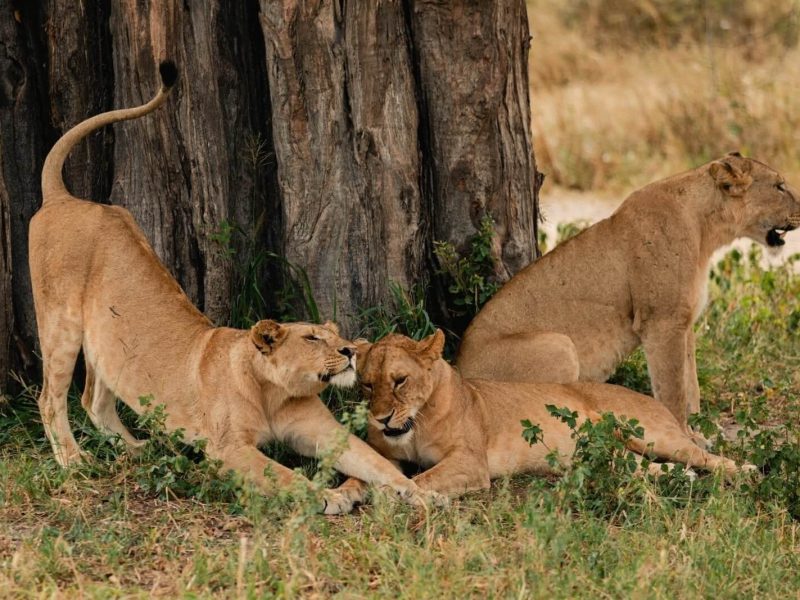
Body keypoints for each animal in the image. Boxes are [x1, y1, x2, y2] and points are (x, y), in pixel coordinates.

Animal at [29, 61, 431, 514]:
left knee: (94, 401)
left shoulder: (322, 432)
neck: (272, 391)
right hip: (59, 324)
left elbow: (374, 461)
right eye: (313, 338)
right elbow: (286, 476)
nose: (350, 351)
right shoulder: (228, 448)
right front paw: (328, 496)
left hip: (105, 339)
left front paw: (420, 491)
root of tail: (62, 198)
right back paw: (74, 460)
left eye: (338, 335)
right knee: (51, 399)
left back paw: (138, 449)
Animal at [338, 331, 753, 498]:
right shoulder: (387, 454)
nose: (380, 418)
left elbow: (420, 479)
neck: (416, 423)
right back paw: (680, 478)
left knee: (703, 455)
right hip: (613, 456)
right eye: (367, 385)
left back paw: (746, 471)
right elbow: (359, 476)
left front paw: (393, 494)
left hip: (653, 434)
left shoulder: (470, 464)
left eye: (400, 380)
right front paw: (338, 496)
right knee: (648, 467)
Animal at [457, 155, 800, 435]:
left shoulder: (684, 321)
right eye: (780, 186)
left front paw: (700, 433)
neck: (707, 232)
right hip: (557, 345)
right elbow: (673, 389)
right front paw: (684, 436)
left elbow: (692, 385)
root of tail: (458, 372)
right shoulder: (662, 322)